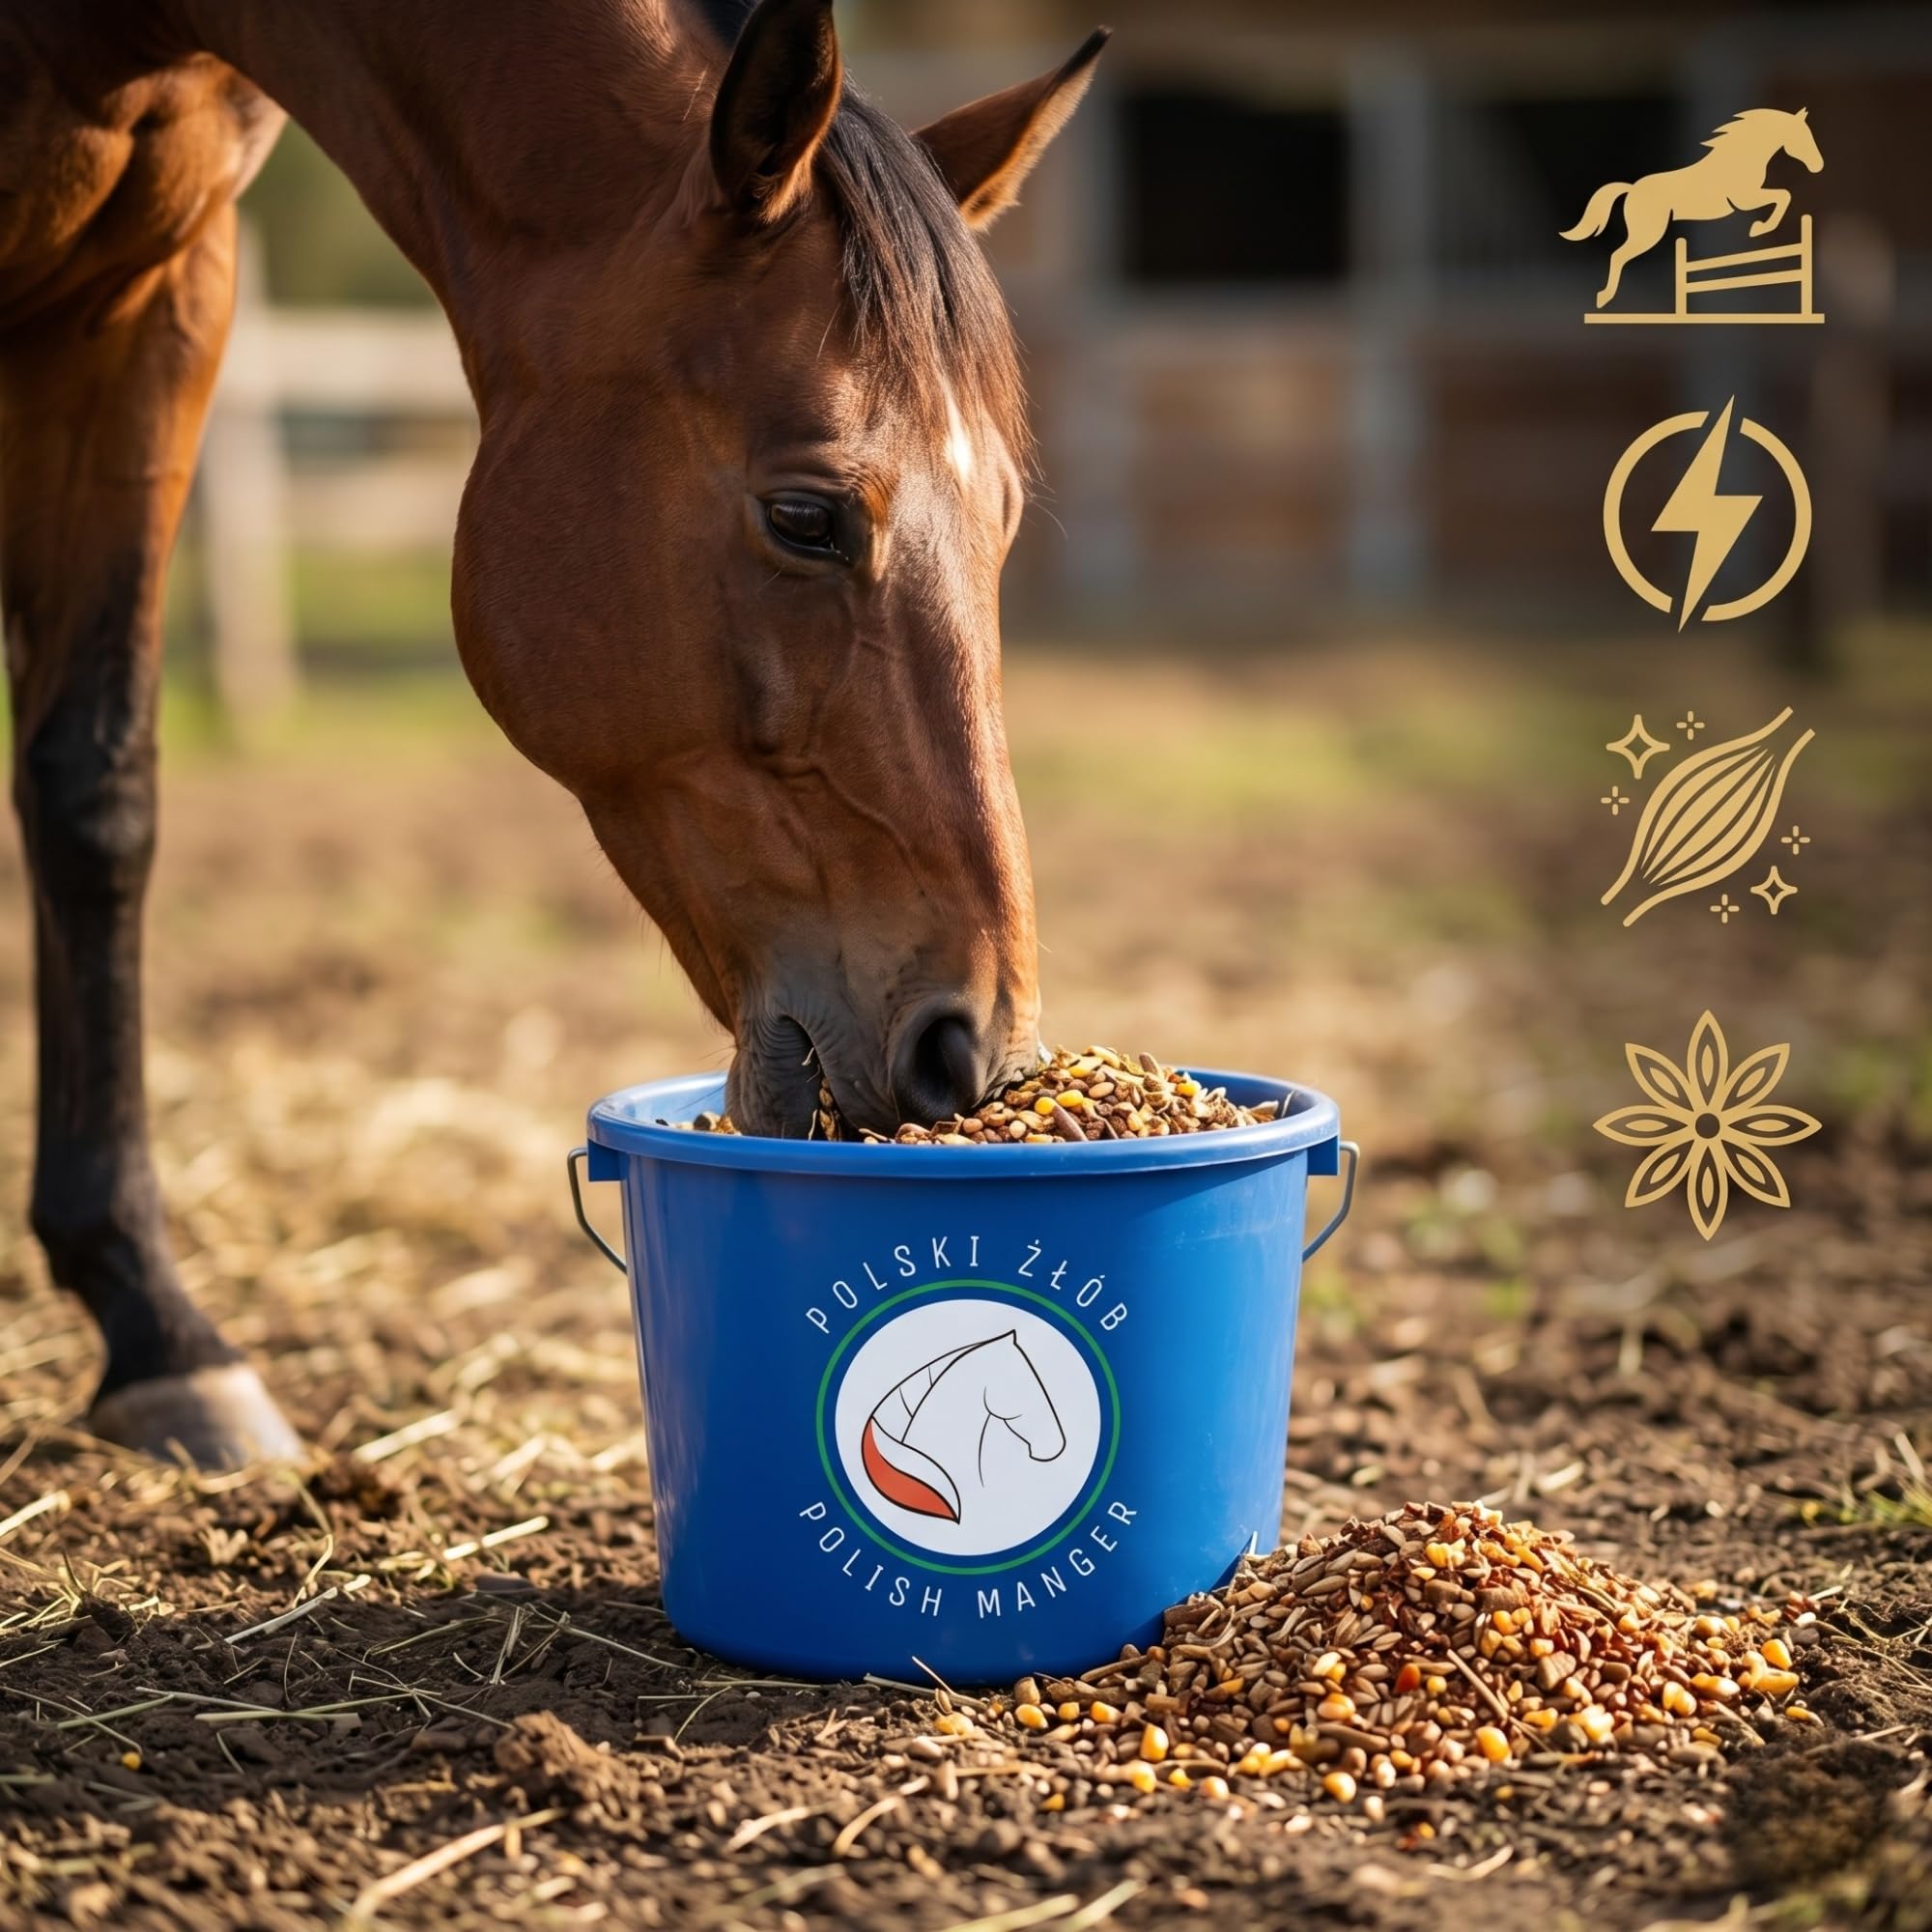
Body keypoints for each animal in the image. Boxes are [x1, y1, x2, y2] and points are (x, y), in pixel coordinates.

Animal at [0, 0, 1107, 1466]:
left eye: (1005, 525)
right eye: (806, 515)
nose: (972, 1047)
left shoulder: (150, 301)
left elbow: (94, 792)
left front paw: (158, 1331)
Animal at [1562, 108, 1824, 310]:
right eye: (1803, 137)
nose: (1819, 166)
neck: (1739, 158)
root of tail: (1632, 188)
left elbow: (1783, 195)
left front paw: (1759, 228)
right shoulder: (1745, 199)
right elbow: (1784, 195)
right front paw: (1759, 228)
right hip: (1647, 234)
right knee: (1617, 256)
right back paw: (1604, 297)